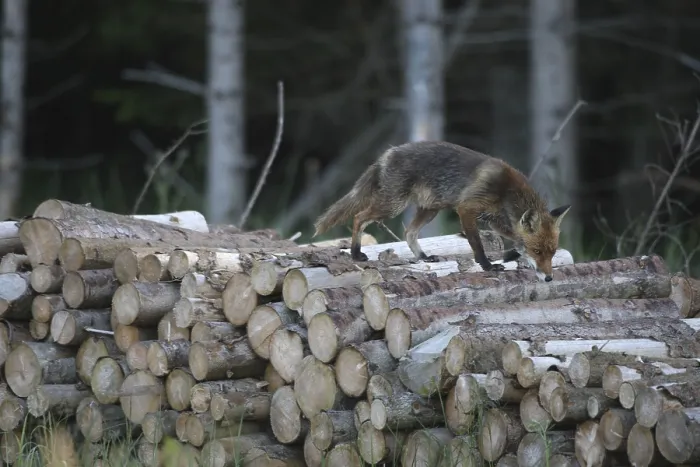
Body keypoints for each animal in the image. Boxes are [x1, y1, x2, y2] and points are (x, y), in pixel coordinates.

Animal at [312, 140, 571, 282]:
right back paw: (356, 253)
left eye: (552, 252)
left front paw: (510, 256)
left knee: (408, 233)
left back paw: (423, 257)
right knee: (359, 217)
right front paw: (488, 266)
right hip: (393, 206)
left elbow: (516, 242)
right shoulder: (467, 209)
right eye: (537, 251)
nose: (549, 278)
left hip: (430, 210)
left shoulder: (496, 221)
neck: (505, 191)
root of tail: (388, 153)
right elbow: (477, 244)